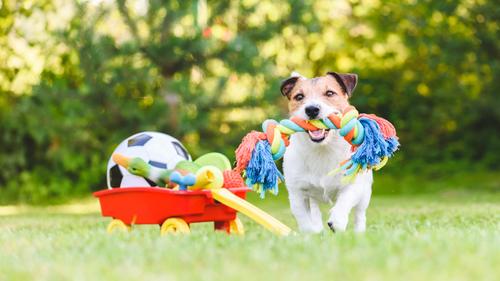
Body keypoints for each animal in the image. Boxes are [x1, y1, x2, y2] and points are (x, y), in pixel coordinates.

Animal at [280, 71, 374, 232]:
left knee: (360, 214)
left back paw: (359, 231)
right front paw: (311, 233)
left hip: (365, 193)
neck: (322, 149)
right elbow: (304, 219)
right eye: (299, 96)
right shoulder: (297, 193)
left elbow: (345, 200)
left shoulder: (353, 184)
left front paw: (337, 221)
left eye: (330, 93)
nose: (311, 109)